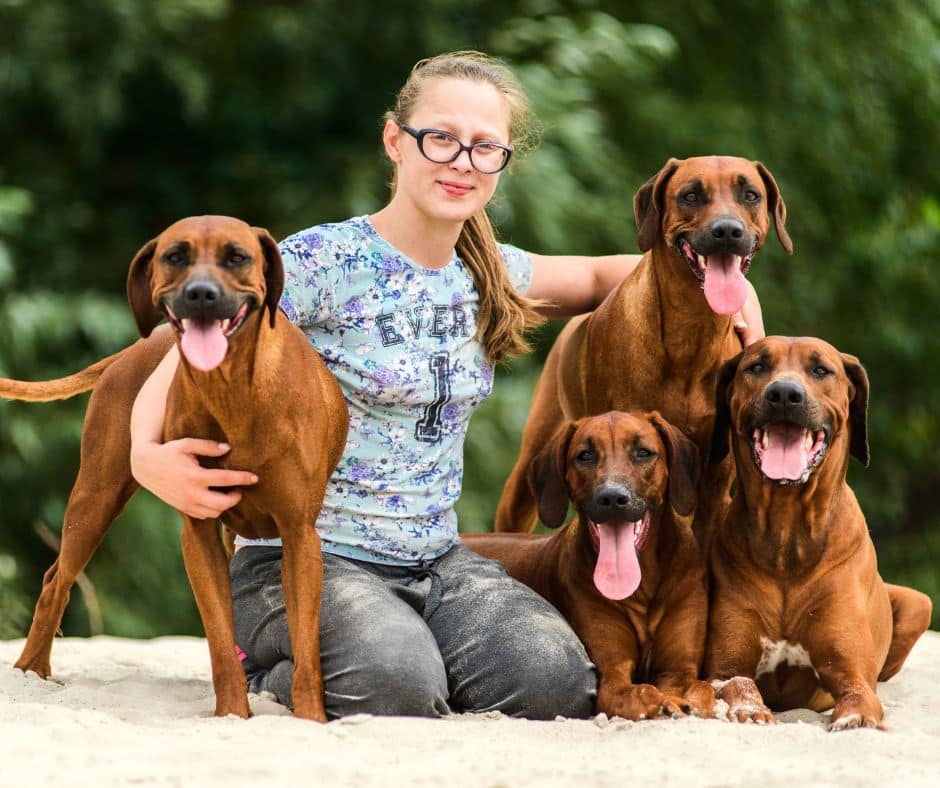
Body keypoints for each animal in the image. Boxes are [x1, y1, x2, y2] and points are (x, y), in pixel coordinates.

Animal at [1, 215, 346, 720]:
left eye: (237, 257)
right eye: (175, 256)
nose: (201, 294)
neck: (231, 391)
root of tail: (130, 351)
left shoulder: (299, 536)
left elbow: (305, 653)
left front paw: (309, 720)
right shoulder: (198, 532)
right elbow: (220, 644)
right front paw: (231, 717)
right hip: (95, 497)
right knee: (55, 581)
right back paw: (31, 671)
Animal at [462, 412, 712, 720]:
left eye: (643, 452)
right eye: (585, 455)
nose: (613, 498)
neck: (643, 584)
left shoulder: (678, 669)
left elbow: (699, 686)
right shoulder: (612, 674)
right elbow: (641, 690)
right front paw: (663, 702)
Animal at [704, 336, 932, 728]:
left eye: (821, 370)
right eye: (757, 366)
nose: (784, 393)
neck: (787, 530)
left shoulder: (851, 670)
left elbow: (860, 695)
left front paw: (855, 719)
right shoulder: (725, 666)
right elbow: (736, 684)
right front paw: (750, 709)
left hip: (919, 603)